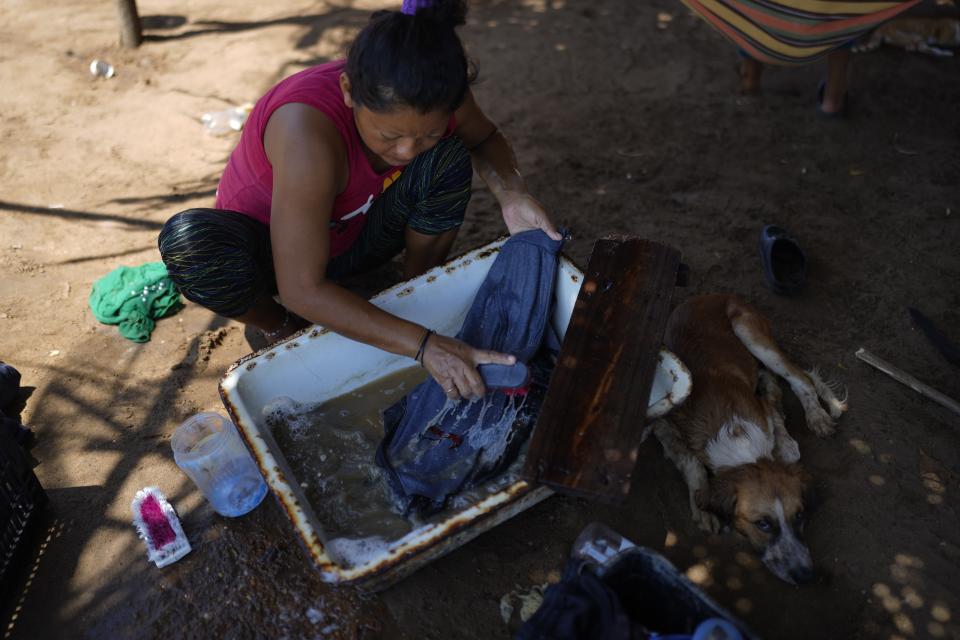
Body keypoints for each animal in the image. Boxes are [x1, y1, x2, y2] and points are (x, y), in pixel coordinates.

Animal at [652, 296, 848, 584]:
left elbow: (786, 445)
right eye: (762, 524)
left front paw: (784, 441)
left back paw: (817, 415)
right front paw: (703, 508)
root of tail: (716, 295)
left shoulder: (761, 409)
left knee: (801, 380)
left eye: (799, 515)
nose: (805, 576)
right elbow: (692, 463)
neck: (736, 436)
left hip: (749, 331)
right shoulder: (662, 420)